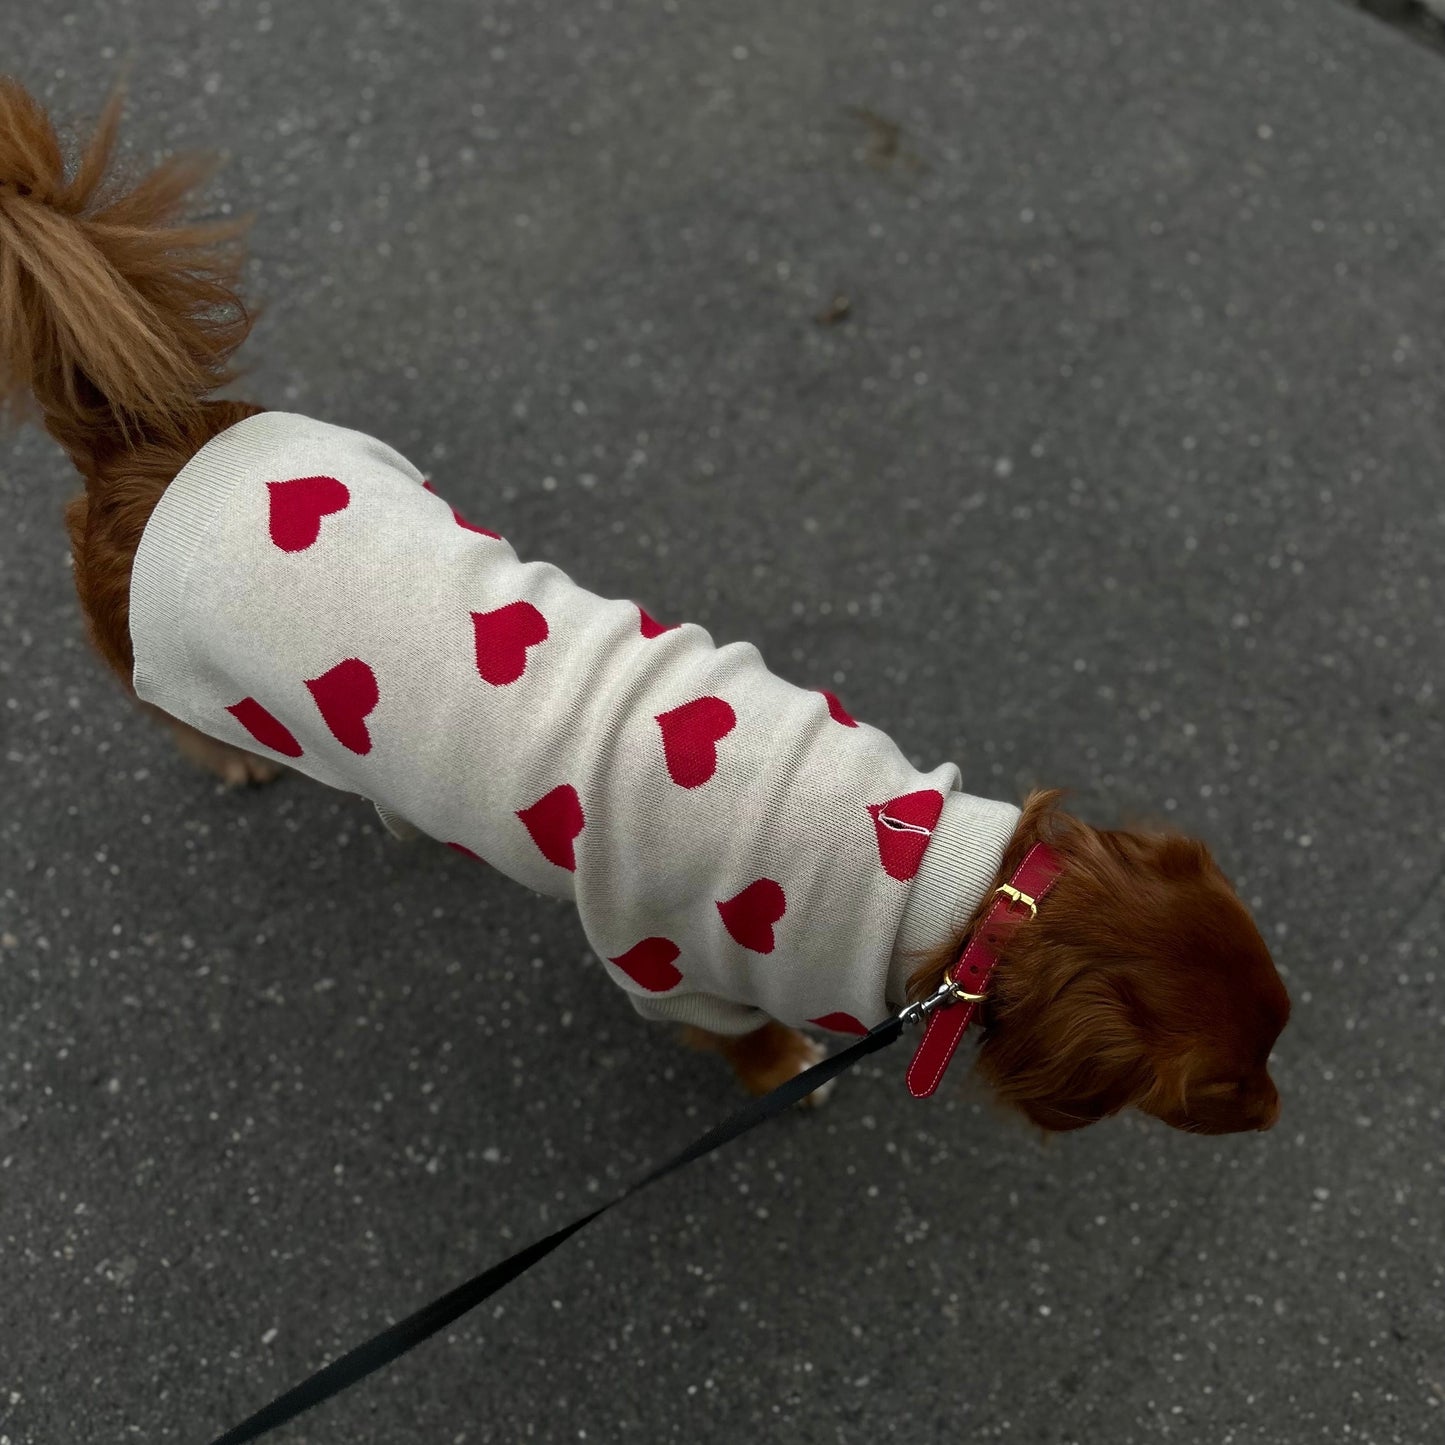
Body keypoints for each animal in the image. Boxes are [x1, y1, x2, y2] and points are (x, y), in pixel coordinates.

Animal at [0, 84, 1288, 1132]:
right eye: (1220, 1087)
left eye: (1281, 1021)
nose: (1279, 1111)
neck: (949, 886)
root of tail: (151, 444)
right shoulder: (673, 970)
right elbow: (746, 1041)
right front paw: (789, 1073)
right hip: (171, 668)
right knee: (167, 713)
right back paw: (234, 758)